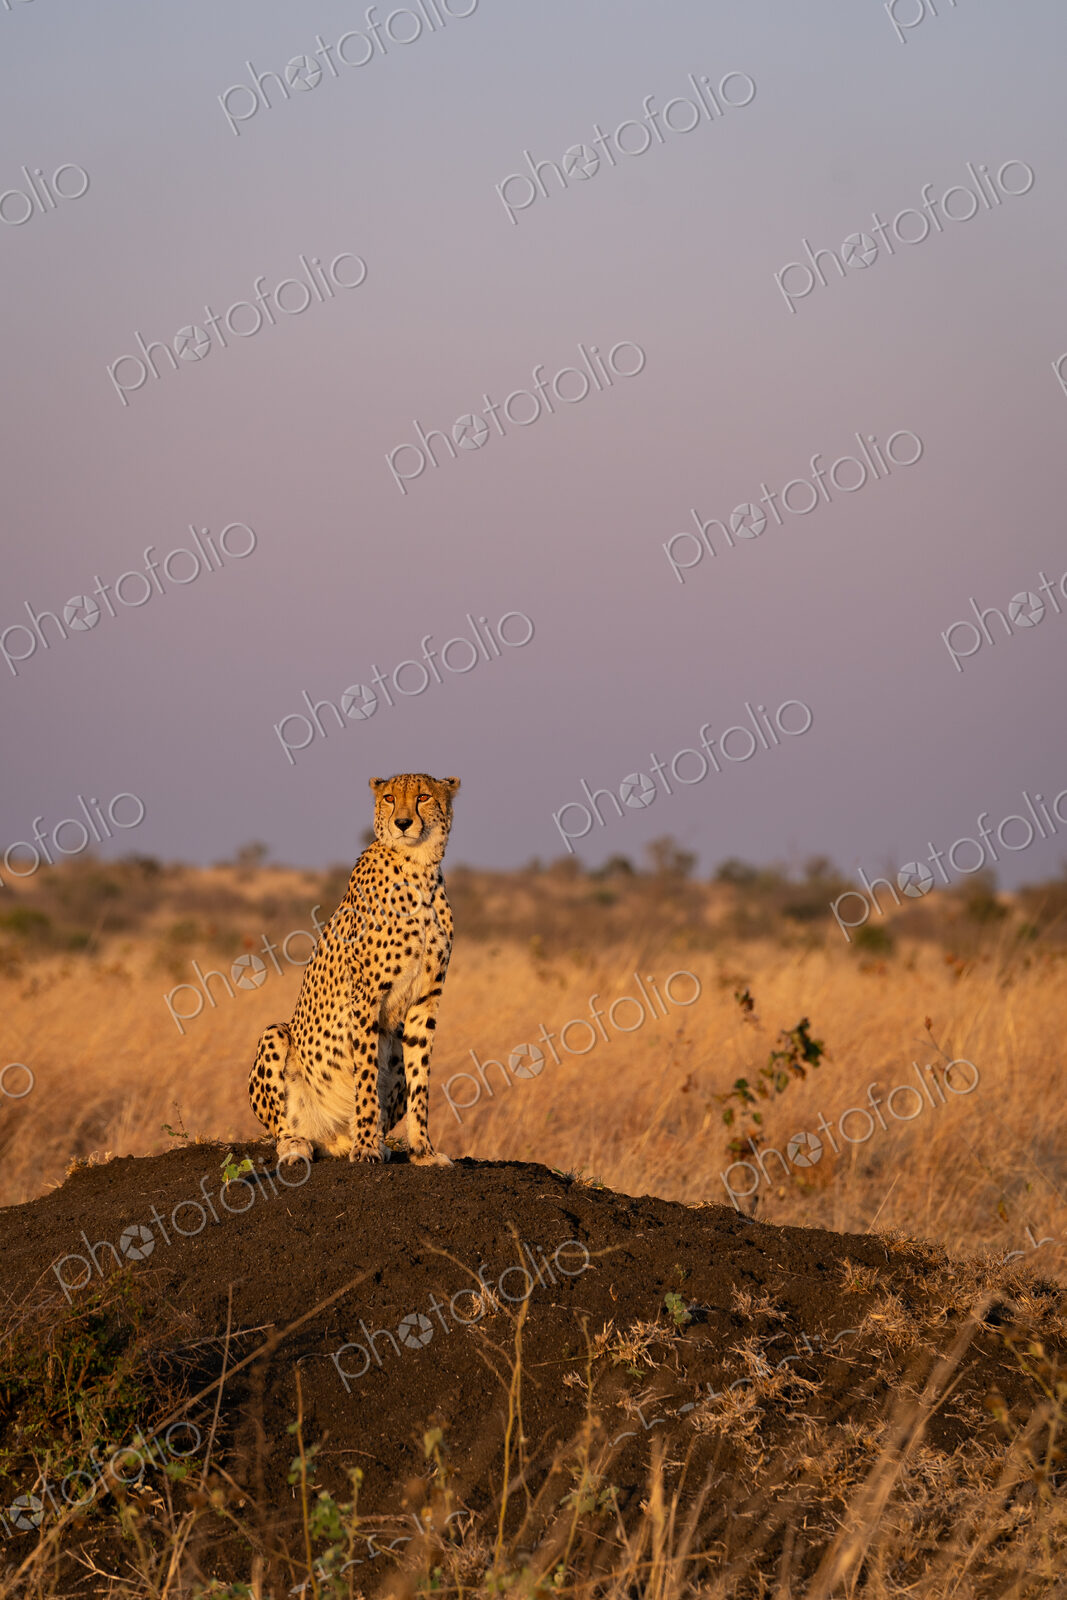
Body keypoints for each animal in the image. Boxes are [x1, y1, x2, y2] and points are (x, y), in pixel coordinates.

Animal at [248, 773, 459, 1166]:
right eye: (389, 798)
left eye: (423, 797)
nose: (402, 823)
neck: (419, 867)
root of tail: (331, 1138)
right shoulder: (366, 996)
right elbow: (366, 1072)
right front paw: (365, 1148)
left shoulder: (426, 999)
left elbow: (420, 1079)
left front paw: (422, 1150)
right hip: (276, 1035)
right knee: (284, 1127)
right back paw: (301, 1145)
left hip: (395, 1051)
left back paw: (379, 1142)